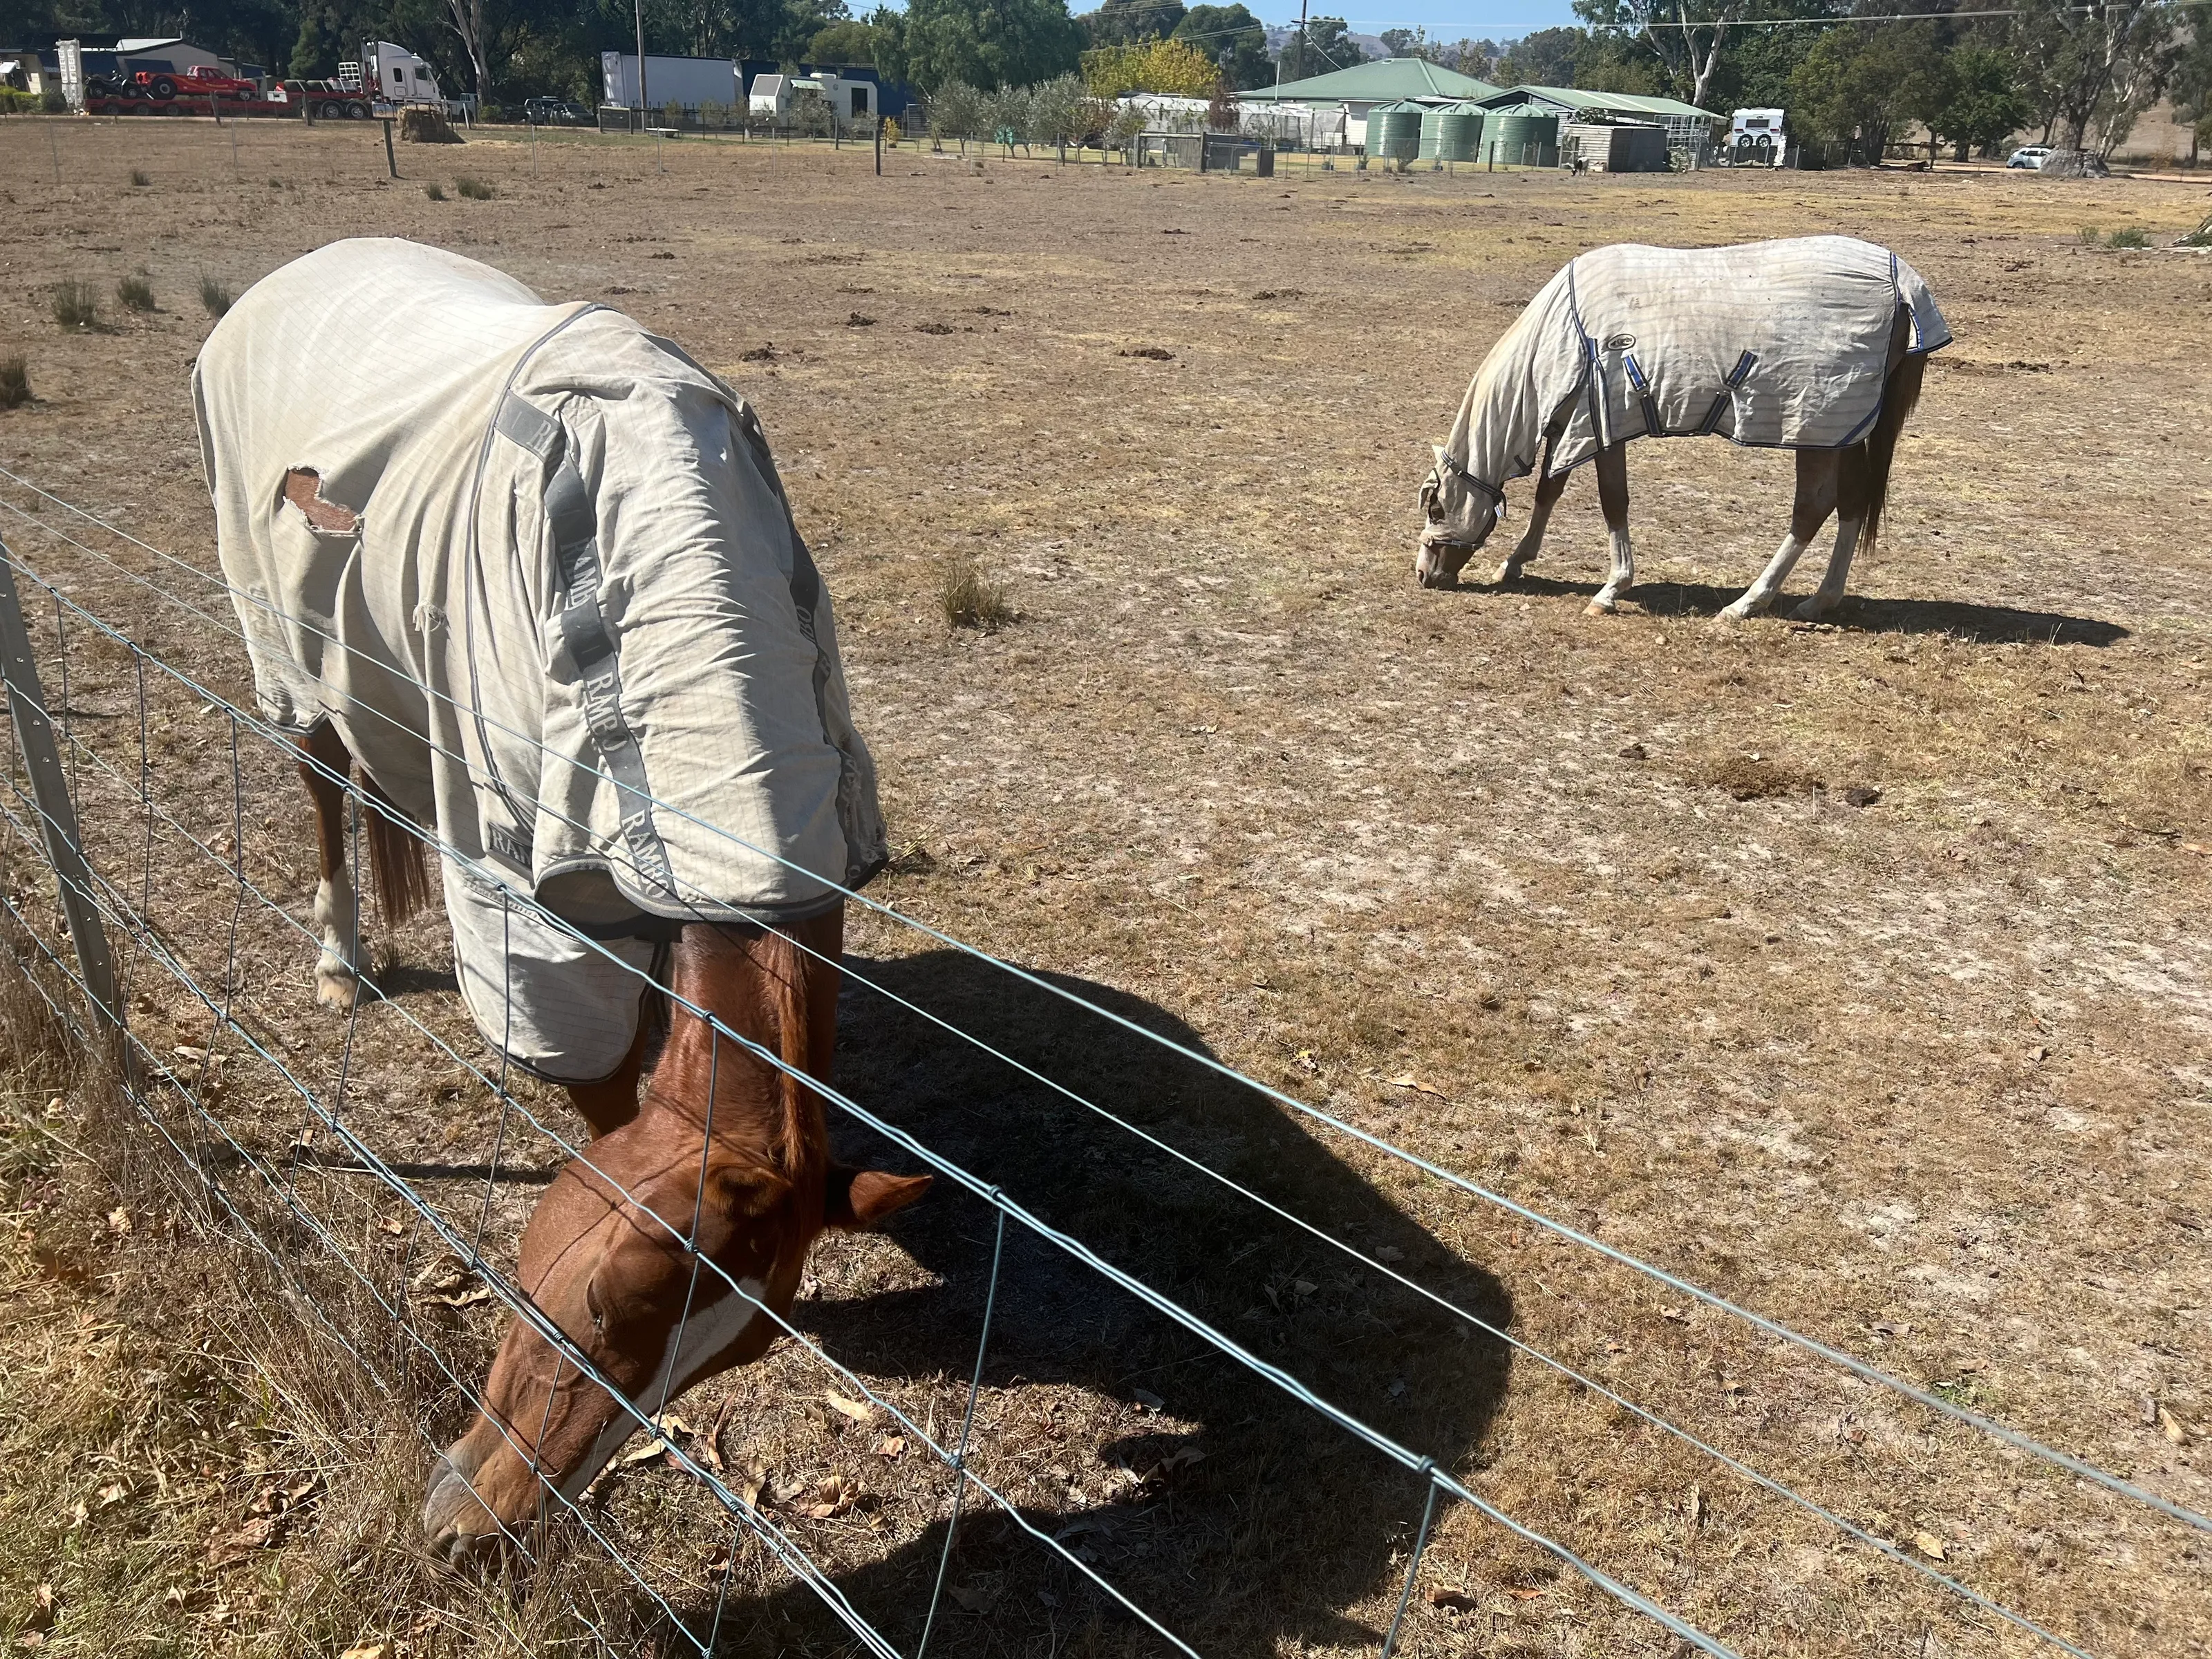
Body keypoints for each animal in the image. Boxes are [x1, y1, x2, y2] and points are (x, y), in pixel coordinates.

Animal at [193, 238, 928, 1562]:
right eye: (590, 1302)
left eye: (714, 1363)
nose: (481, 1531)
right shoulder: (537, 915)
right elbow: (595, 1081)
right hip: (291, 655)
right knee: (325, 781)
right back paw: (339, 957)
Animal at [1415, 235, 1949, 620]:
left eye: (1437, 507)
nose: (1424, 574)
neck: (1569, 334)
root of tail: (1904, 286)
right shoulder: (1573, 420)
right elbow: (1551, 488)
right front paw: (1514, 562)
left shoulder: (1600, 424)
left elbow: (1613, 501)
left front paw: (1610, 589)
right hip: (1844, 433)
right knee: (1851, 503)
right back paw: (1821, 600)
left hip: (1814, 428)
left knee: (1812, 509)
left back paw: (1746, 604)